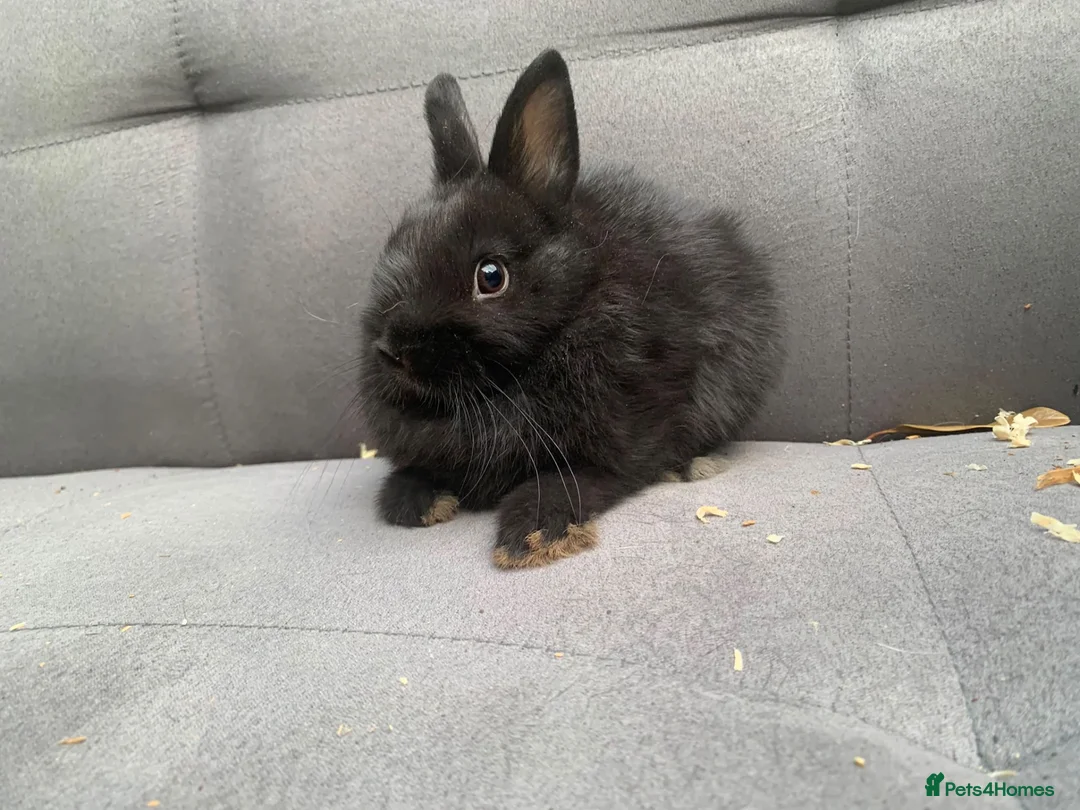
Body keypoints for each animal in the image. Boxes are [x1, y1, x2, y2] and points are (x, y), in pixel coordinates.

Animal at [358, 48, 783, 569]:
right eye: (393, 247)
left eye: (491, 276)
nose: (394, 351)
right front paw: (411, 498)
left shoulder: (635, 422)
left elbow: (589, 475)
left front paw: (536, 532)